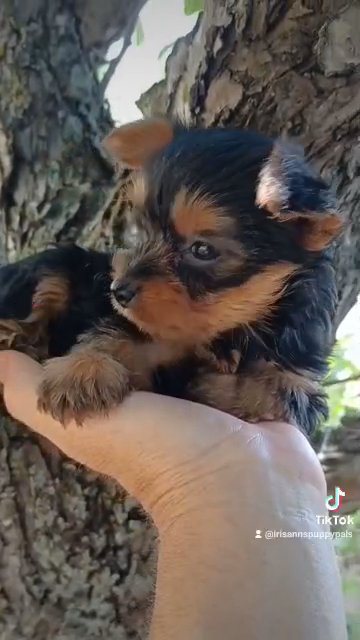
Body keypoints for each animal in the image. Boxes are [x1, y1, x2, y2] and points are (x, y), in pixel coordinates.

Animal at [0, 119, 344, 436]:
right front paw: (83, 372)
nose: (118, 291)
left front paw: (217, 388)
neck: (227, 329)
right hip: (59, 265)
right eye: (142, 230)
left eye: (202, 249)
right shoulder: (136, 325)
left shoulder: (296, 374)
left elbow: (275, 392)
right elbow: (110, 334)